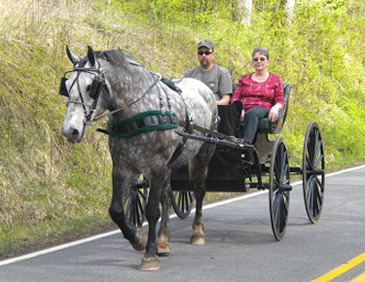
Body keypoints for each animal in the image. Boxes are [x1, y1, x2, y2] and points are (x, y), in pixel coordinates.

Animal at [59, 46, 216, 270]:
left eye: (91, 87)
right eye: (67, 85)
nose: (70, 130)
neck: (137, 112)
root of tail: (203, 87)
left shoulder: (157, 167)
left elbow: (151, 211)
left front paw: (149, 255)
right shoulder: (122, 167)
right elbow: (116, 210)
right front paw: (138, 239)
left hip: (203, 153)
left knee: (199, 190)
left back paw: (197, 232)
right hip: (169, 164)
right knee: (167, 195)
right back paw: (163, 241)